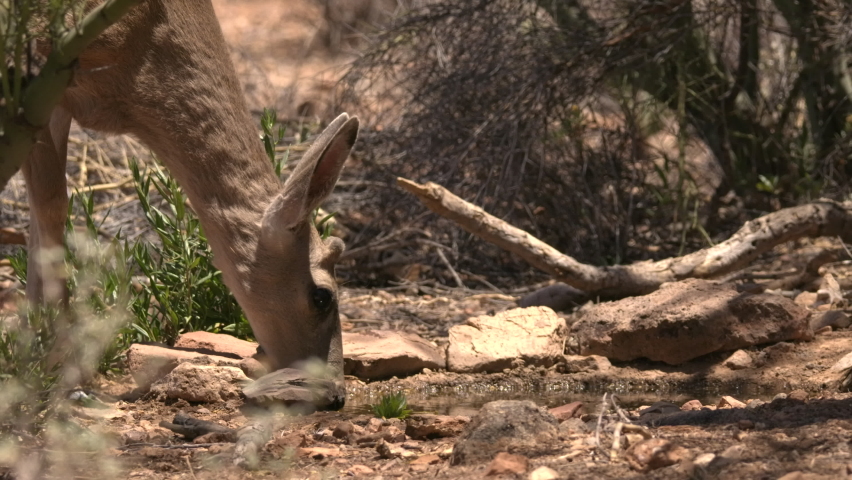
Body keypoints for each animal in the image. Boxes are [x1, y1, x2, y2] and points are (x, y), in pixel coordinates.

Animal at [21, 0, 358, 392]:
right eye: (322, 296)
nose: (334, 391)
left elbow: (40, 212)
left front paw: (32, 356)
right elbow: (51, 205)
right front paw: (65, 372)